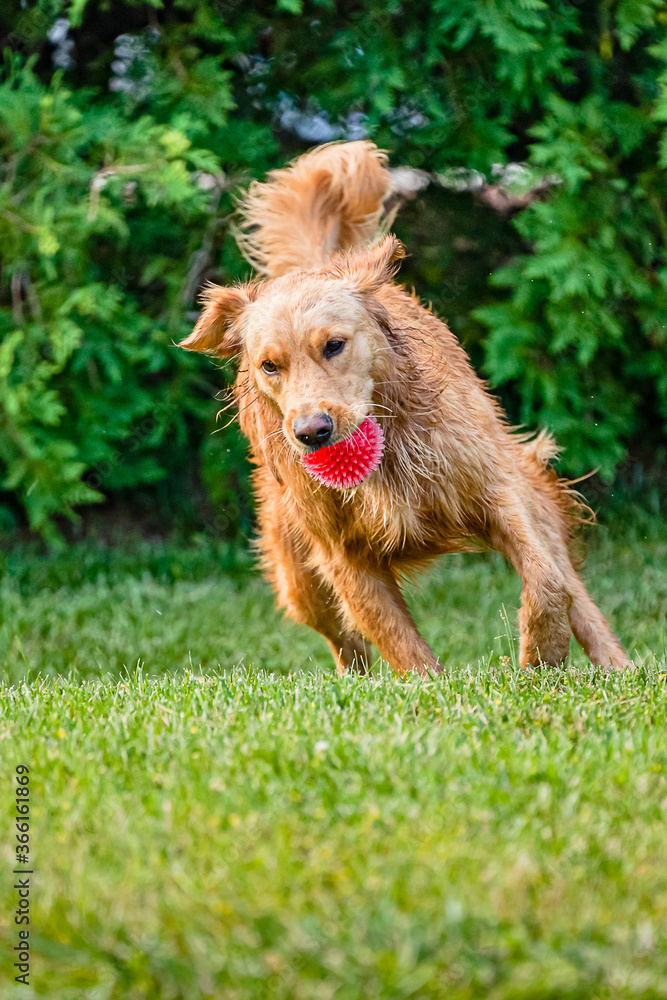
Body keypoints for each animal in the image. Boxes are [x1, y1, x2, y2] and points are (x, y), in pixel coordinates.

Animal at [180, 141, 628, 676]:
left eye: (334, 345)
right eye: (270, 365)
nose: (312, 431)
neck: (389, 451)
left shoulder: (496, 490)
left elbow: (547, 581)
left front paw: (543, 654)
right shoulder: (344, 555)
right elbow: (399, 643)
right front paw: (430, 686)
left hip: (531, 489)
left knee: (573, 586)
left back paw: (618, 665)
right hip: (298, 573)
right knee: (344, 640)